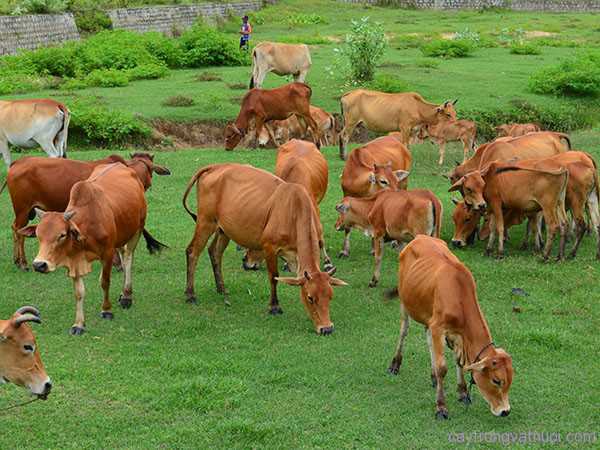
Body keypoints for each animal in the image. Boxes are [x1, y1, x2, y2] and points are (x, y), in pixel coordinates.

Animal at [3, 153, 170, 270]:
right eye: (150, 170)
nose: (146, 183)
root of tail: (18, 162)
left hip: (25, 211)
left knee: (15, 229)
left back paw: (16, 260)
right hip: (23, 209)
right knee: (19, 231)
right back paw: (23, 263)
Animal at [21, 163, 166, 334]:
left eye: (62, 235)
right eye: (38, 235)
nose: (39, 265)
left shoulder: (108, 253)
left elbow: (105, 282)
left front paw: (106, 310)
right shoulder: (75, 260)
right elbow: (79, 292)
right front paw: (78, 324)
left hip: (136, 230)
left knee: (128, 258)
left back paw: (126, 296)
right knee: (123, 256)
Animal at [182, 163, 346, 336]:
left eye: (330, 296)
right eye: (310, 297)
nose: (326, 328)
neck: (294, 211)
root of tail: (215, 166)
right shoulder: (270, 247)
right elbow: (274, 277)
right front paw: (274, 307)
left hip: (224, 229)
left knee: (214, 252)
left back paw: (221, 288)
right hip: (205, 221)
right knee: (192, 251)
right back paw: (190, 294)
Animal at [386, 236, 512, 418]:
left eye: (511, 380)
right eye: (496, 380)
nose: (505, 411)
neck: (459, 294)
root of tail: (419, 237)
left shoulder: (456, 333)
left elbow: (459, 361)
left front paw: (463, 392)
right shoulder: (438, 328)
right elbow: (442, 368)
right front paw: (441, 406)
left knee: (428, 340)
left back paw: (433, 377)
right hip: (405, 303)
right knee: (404, 331)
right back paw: (395, 364)